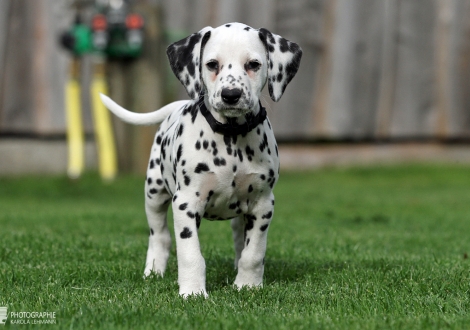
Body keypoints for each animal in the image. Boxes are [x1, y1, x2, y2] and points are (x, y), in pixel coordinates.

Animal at [101, 21, 302, 298]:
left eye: (253, 64)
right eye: (212, 64)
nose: (231, 94)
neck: (231, 137)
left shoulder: (262, 205)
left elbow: (253, 252)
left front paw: (247, 285)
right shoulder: (186, 203)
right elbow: (190, 254)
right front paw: (193, 292)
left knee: (239, 239)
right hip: (154, 193)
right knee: (159, 236)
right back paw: (153, 271)